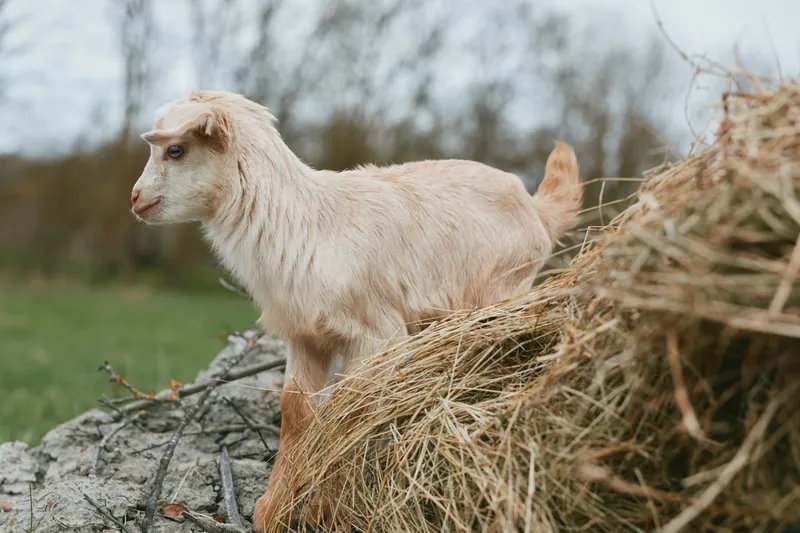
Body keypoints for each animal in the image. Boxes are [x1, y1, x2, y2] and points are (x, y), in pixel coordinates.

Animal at [131, 90, 581, 532]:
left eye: (175, 150)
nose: (135, 199)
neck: (305, 223)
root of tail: (537, 208)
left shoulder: (375, 335)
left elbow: (351, 411)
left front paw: (327, 511)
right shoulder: (305, 336)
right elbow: (297, 412)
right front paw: (273, 512)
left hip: (503, 289)